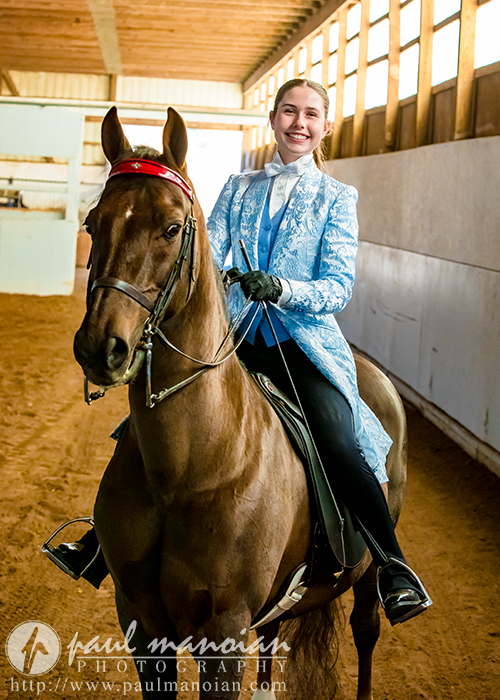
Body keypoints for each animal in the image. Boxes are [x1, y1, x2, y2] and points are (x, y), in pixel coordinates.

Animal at [75, 105, 407, 700]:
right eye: (94, 222)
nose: (99, 348)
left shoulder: (223, 632)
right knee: (275, 636)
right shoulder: (139, 623)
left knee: (366, 630)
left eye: (172, 227)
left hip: (368, 575)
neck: (186, 468)